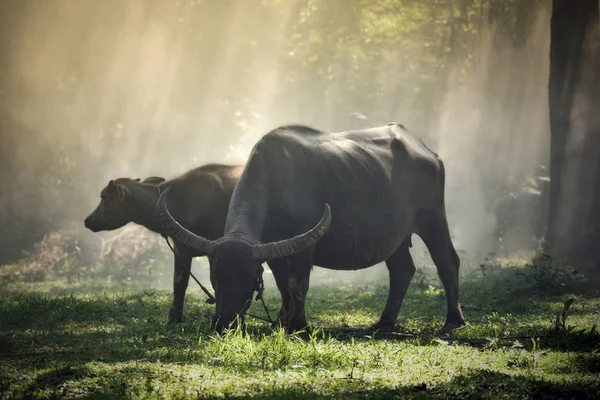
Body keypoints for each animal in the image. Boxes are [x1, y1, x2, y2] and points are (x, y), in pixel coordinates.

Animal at [85, 164, 244, 324]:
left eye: (104, 196)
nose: (87, 220)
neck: (177, 201)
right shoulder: (180, 248)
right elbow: (178, 282)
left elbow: (208, 281)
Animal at [157, 124, 466, 332]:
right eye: (215, 277)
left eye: (247, 279)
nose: (223, 324)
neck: (276, 185)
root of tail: (427, 151)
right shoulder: (272, 249)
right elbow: (282, 284)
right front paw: (282, 321)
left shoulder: (303, 247)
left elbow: (298, 284)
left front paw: (298, 324)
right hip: (394, 237)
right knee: (402, 270)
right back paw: (384, 322)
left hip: (433, 218)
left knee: (447, 261)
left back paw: (453, 320)